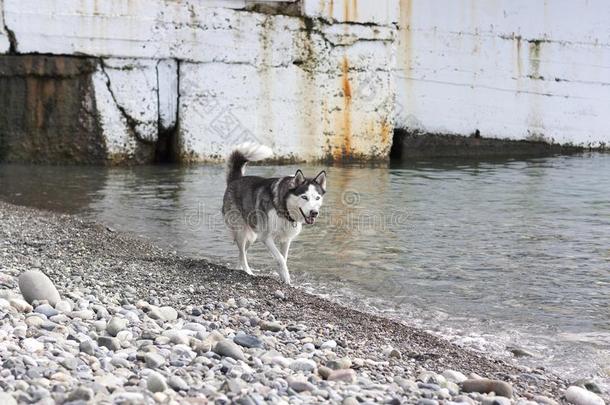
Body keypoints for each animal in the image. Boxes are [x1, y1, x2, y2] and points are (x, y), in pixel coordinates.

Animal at [221, 142, 326, 284]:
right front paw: (286, 277)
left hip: (252, 236)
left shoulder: (286, 239)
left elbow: (283, 258)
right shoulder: (266, 237)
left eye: (317, 198)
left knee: (241, 253)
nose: (314, 212)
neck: (285, 208)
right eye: (304, 197)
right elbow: (280, 258)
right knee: (242, 253)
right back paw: (248, 272)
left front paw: (284, 278)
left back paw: (240, 269)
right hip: (242, 231)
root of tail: (235, 180)